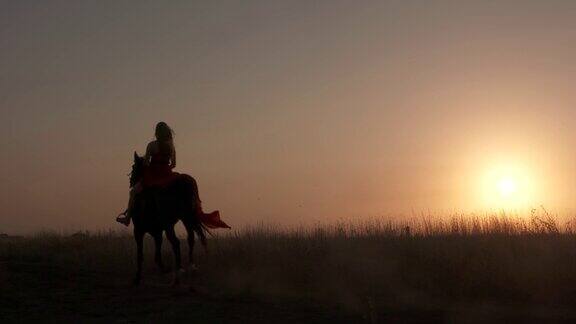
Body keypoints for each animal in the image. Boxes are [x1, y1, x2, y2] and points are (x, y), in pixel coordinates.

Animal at [128, 153, 207, 286]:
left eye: (134, 167)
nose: (131, 181)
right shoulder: (157, 232)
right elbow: (157, 255)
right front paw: (165, 269)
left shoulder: (139, 230)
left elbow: (140, 254)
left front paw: (137, 278)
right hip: (186, 218)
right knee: (190, 238)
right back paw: (190, 267)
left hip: (169, 224)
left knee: (176, 242)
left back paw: (178, 275)